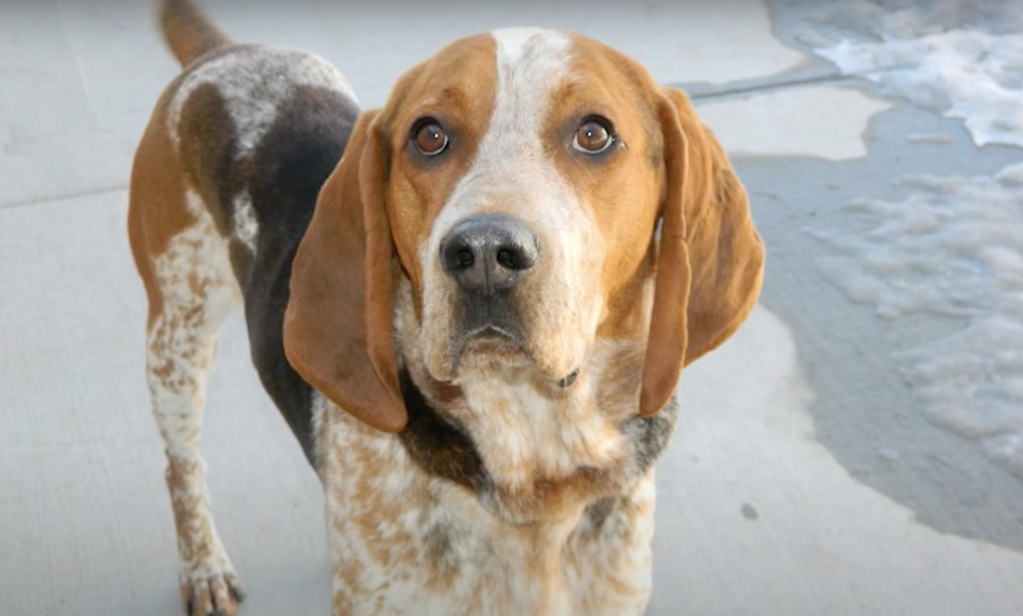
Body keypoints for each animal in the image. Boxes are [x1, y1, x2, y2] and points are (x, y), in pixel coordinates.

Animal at [127, 2, 765, 609]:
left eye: (594, 134)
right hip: (175, 340)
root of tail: (223, 54)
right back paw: (204, 568)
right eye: (428, 135)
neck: (533, 453)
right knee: (181, 465)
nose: (484, 253)